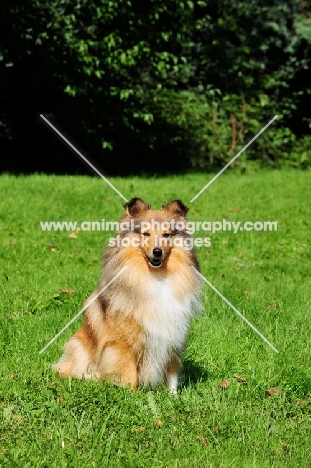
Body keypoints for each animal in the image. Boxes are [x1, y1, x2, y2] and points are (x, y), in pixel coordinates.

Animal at [53, 197, 202, 392]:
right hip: (78, 345)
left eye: (166, 235)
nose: (157, 252)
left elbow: (172, 373)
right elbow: (129, 372)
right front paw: (130, 394)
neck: (155, 276)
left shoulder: (174, 337)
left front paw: (173, 395)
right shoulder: (122, 344)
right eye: (145, 234)